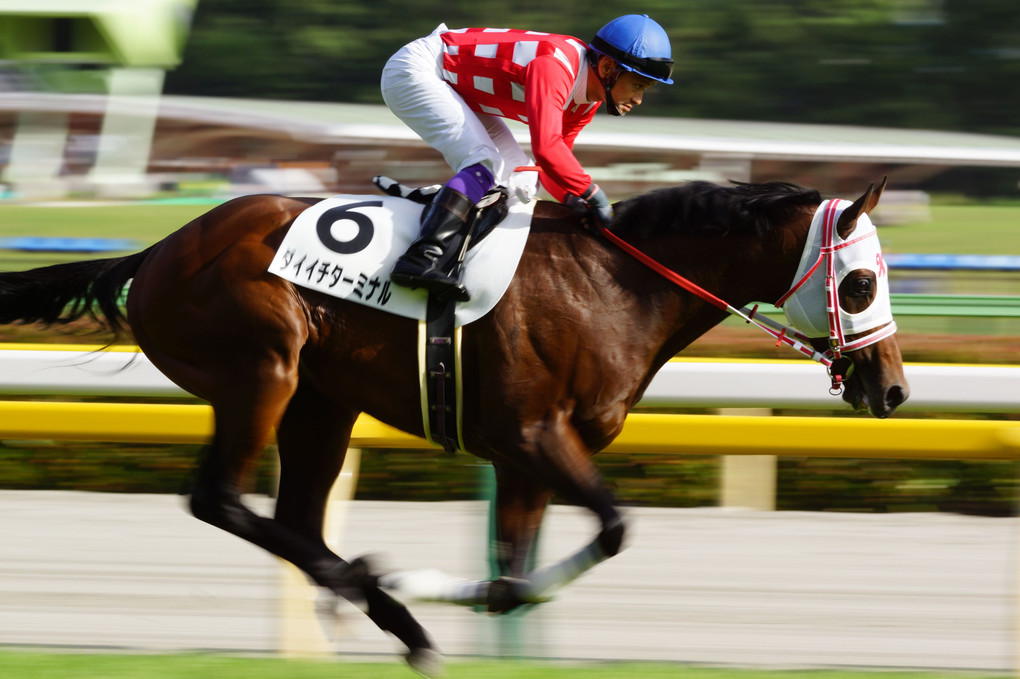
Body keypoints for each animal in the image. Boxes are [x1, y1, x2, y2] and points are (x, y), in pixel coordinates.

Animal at [0, 177, 909, 672]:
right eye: (862, 282)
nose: (895, 389)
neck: (618, 284)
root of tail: (156, 253)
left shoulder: (526, 456)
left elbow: (514, 573)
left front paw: (470, 597)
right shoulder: (537, 434)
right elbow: (613, 527)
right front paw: (420, 582)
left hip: (322, 400)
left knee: (296, 517)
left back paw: (389, 610)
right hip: (263, 370)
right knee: (219, 499)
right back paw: (377, 592)